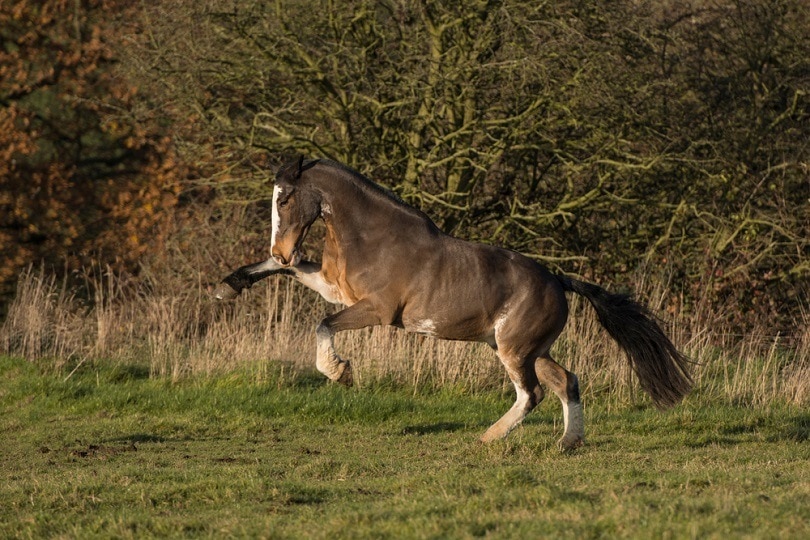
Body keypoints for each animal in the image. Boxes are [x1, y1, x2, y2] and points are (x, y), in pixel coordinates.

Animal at [213, 157, 688, 452]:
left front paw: (340, 372)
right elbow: (293, 279)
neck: (372, 236)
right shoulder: (333, 287)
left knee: (532, 393)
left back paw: (489, 438)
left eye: (284, 199)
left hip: (514, 349)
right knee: (565, 381)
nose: (279, 250)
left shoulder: (375, 309)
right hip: (530, 348)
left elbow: (323, 325)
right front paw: (228, 288)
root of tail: (558, 281)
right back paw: (567, 443)